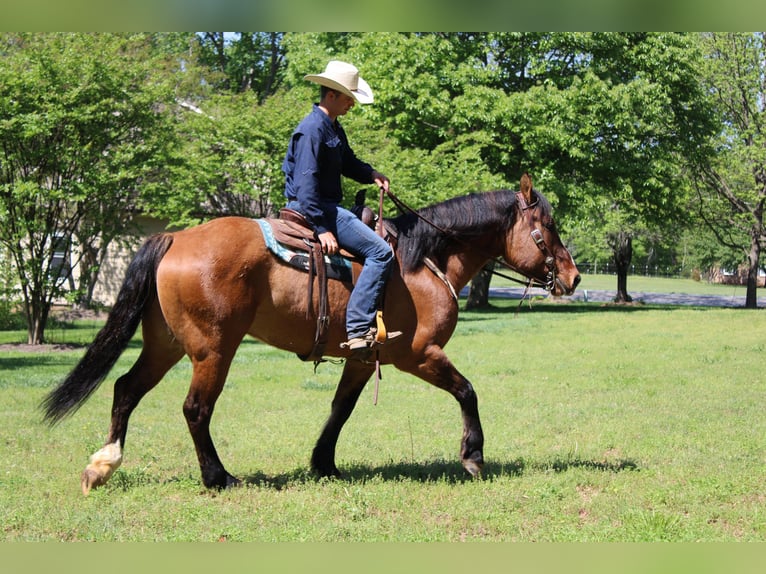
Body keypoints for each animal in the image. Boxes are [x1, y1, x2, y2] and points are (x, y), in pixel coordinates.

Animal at [42, 171, 580, 496]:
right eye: (547, 226)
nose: (573, 277)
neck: (422, 260)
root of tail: (175, 237)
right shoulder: (419, 354)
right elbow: (467, 391)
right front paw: (473, 456)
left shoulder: (362, 359)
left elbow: (340, 410)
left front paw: (324, 463)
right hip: (213, 350)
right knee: (195, 409)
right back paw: (218, 477)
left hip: (165, 344)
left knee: (125, 390)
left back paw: (103, 464)